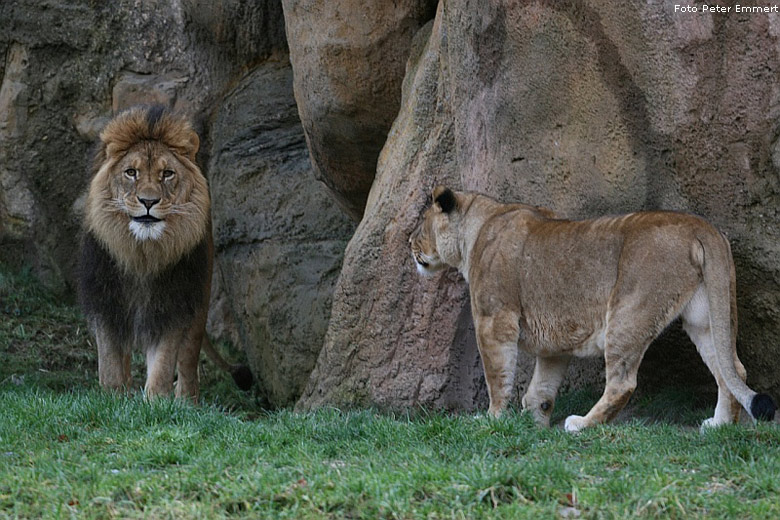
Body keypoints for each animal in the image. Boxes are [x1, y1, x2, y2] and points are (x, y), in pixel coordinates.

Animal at [78, 104, 251, 398]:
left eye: (167, 173)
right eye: (131, 172)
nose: (148, 201)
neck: (142, 255)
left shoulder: (173, 304)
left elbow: (162, 364)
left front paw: (157, 401)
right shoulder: (107, 303)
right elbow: (110, 364)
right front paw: (113, 398)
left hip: (199, 302)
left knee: (189, 361)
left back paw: (186, 400)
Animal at [412, 186, 776, 430]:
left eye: (419, 225)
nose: (409, 243)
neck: (477, 229)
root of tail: (702, 227)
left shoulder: (494, 318)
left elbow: (497, 376)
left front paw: (492, 420)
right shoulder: (554, 343)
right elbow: (541, 388)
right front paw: (534, 425)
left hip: (628, 310)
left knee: (622, 382)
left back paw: (582, 424)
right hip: (706, 315)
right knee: (732, 369)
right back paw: (720, 425)